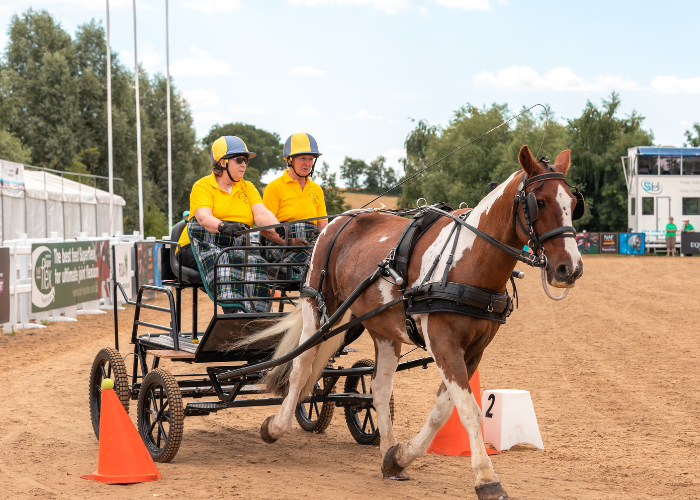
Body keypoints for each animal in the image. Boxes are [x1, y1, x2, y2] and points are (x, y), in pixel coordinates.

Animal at [247, 146, 584, 500]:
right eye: (539, 202)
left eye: (574, 203)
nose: (570, 268)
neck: (467, 262)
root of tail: (339, 221)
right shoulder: (443, 341)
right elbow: (469, 410)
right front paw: (487, 479)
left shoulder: (474, 349)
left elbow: (443, 410)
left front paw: (399, 457)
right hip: (318, 307)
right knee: (300, 368)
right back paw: (276, 426)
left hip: (381, 328)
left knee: (378, 389)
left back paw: (386, 451)